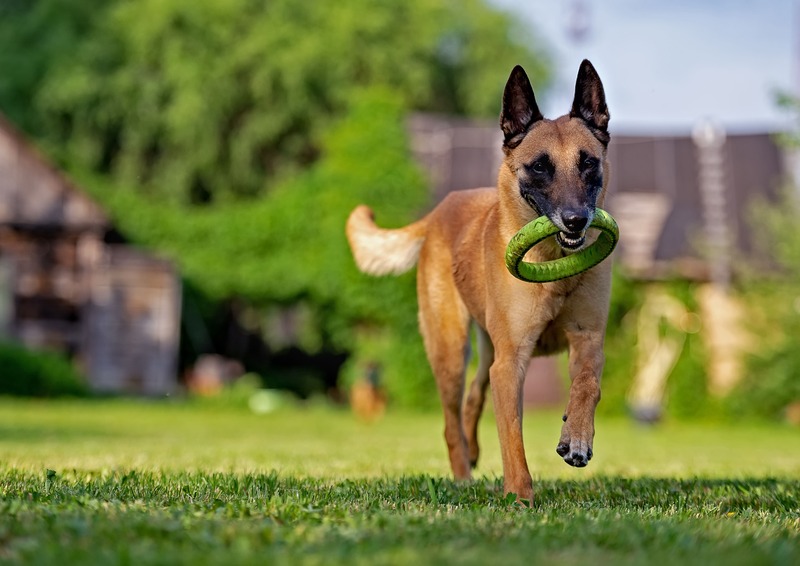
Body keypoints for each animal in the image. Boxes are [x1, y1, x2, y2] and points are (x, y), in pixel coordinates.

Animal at [346, 61, 612, 506]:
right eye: (540, 166)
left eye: (588, 163)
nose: (576, 220)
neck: (553, 265)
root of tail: (439, 210)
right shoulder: (510, 363)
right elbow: (512, 438)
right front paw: (520, 496)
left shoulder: (587, 339)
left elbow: (587, 385)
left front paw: (576, 436)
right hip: (452, 351)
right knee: (452, 421)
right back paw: (463, 475)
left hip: (486, 353)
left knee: (473, 397)